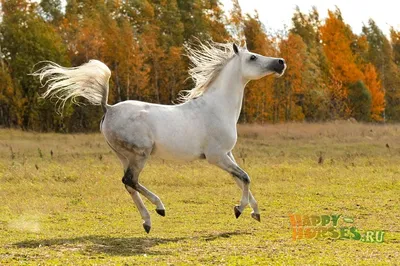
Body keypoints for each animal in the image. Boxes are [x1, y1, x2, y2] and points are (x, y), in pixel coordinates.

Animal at [34, 41, 284, 233]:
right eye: (253, 57)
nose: (280, 62)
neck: (216, 107)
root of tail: (109, 108)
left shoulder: (227, 154)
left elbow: (241, 178)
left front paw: (255, 212)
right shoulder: (217, 156)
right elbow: (245, 178)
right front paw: (239, 210)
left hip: (125, 156)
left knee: (129, 184)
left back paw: (147, 221)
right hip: (140, 154)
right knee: (130, 181)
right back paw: (159, 208)